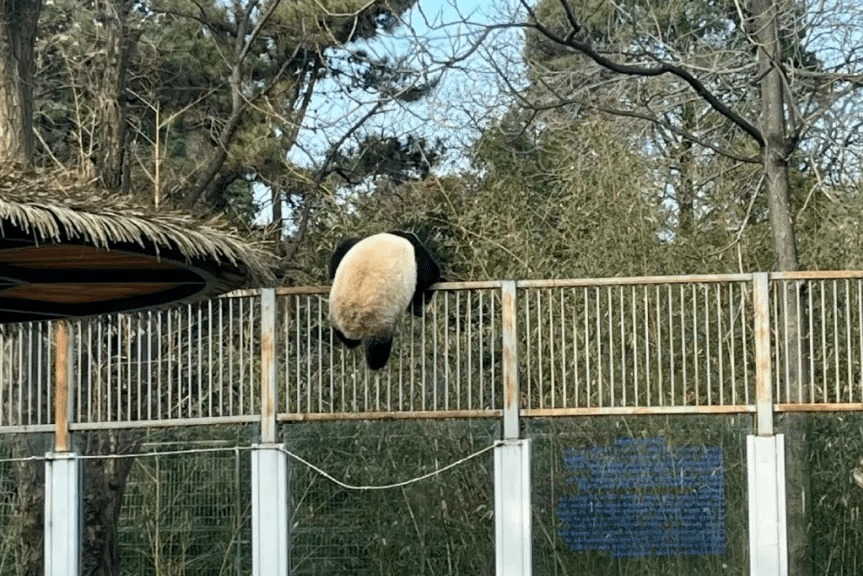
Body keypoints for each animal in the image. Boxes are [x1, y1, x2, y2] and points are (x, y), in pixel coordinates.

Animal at [328, 232, 442, 372]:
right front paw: (421, 307)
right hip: (377, 322)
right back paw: (377, 365)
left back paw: (350, 342)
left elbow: (340, 253)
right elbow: (427, 276)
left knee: (344, 337)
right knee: (378, 349)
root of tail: (351, 323)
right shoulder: (417, 257)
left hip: (335, 316)